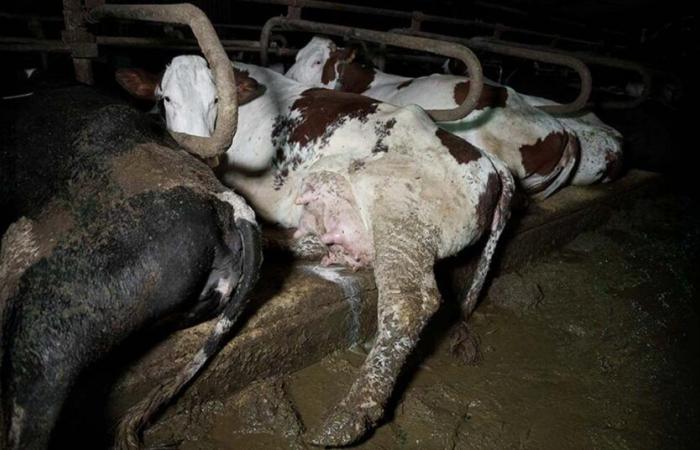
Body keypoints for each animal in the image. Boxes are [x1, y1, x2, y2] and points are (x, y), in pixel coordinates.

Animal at [119, 56, 516, 446]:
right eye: (165, 98)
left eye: (215, 100)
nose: (203, 153)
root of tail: (491, 163)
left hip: (397, 210)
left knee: (408, 302)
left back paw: (349, 416)